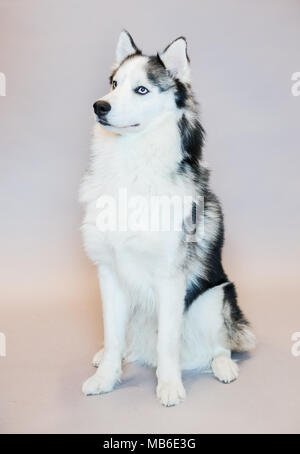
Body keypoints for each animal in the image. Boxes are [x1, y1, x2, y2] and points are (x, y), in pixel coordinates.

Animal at [80, 31, 255, 408]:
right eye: (114, 84)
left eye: (141, 89)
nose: (99, 106)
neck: (130, 165)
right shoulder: (109, 273)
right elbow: (113, 336)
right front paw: (105, 378)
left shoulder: (170, 278)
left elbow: (167, 342)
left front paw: (170, 385)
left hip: (215, 298)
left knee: (221, 345)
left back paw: (224, 366)